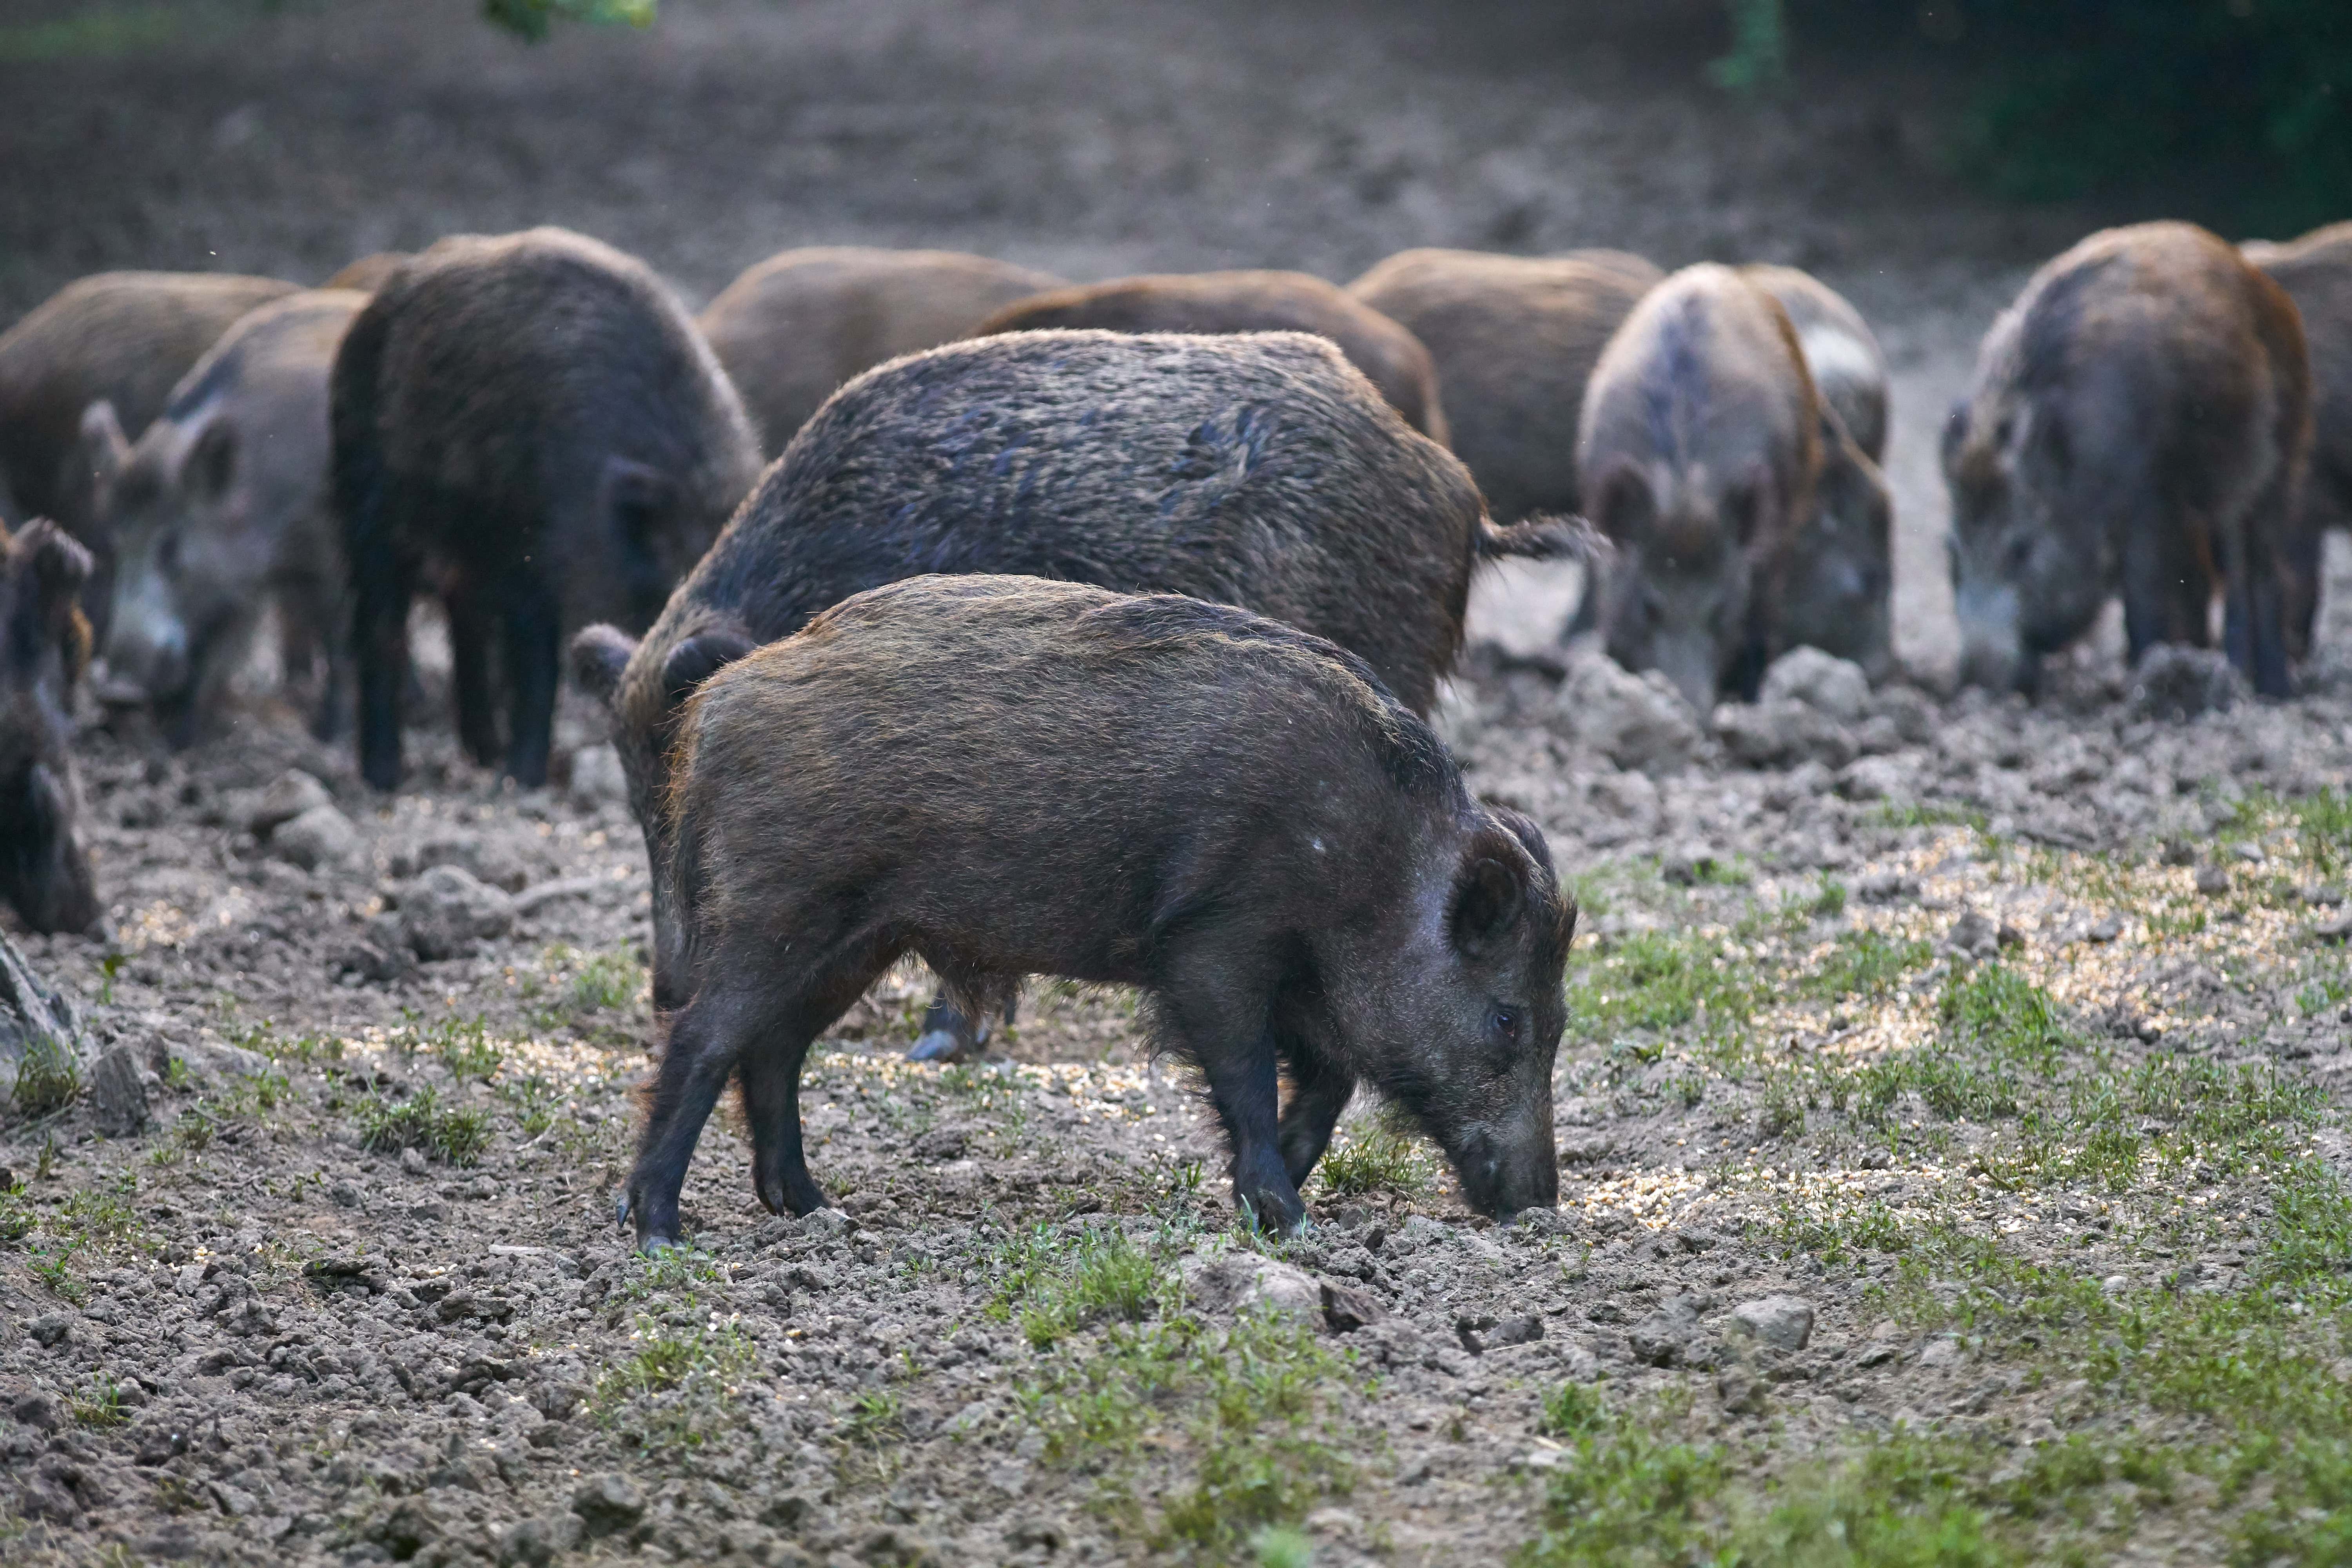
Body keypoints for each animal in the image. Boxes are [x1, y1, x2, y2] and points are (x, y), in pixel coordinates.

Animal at [81, 290, 367, 746]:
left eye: (170, 545)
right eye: (118, 545)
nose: (119, 690)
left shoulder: (332, 555)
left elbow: (339, 641)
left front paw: (328, 737)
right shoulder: (238, 583)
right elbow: (214, 652)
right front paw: (180, 741)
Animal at [332, 227, 763, 791]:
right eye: (672, 582)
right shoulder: (529, 548)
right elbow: (536, 667)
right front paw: (525, 780)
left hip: (462, 550)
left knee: (465, 624)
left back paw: (484, 754)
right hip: (367, 498)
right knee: (381, 623)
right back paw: (385, 776)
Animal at [626, 573, 1573, 1246]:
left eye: (1562, 1020)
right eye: (1507, 1019)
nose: (1540, 1206)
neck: (1370, 862)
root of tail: (716, 705)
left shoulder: (1305, 980)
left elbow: (1328, 1083)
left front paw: (1271, 1200)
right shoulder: (1214, 942)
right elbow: (1246, 1077)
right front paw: (1289, 1220)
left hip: (857, 938)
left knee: (776, 1048)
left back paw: (815, 1210)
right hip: (778, 908)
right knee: (705, 1037)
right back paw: (660, 1232)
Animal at [1945, 222, 2311, 698]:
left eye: (2022, 549)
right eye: (1953, 554)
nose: (1977, 680)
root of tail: (2268, 289)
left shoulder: (2148, 497)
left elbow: (2143, 593)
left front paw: (2138, 678)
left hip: (2278, 465)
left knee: (2257, 569)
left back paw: (2267, 687)